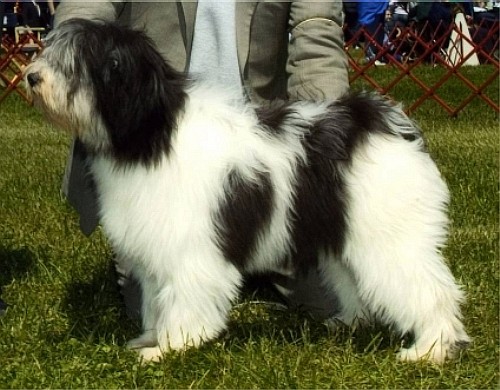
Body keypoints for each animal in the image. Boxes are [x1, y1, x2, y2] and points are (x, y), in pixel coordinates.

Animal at [25, 19, 470, 364]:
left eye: (74, 63)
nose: (31, 76)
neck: (151, 133)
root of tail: (385, 122)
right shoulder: (155, 247)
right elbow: (155, 300)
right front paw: (149, 338)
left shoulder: (190, 249)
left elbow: (183, 300)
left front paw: (170, 348)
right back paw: (348, 323)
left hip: (390, 239)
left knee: (432, 291)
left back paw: (430, 349)